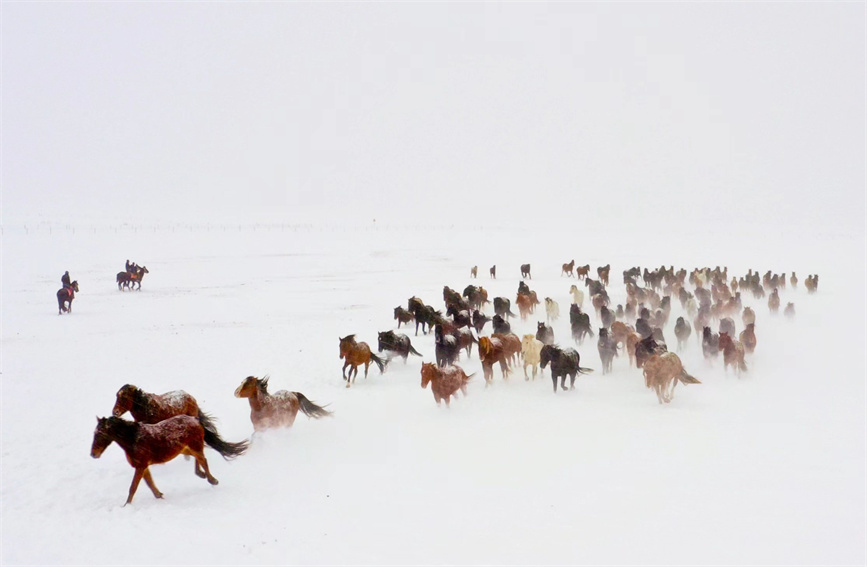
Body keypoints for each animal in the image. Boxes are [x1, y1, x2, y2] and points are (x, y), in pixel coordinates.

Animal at [91, 415, 226, 505]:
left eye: (100, 434)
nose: (93, 454)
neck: (134, 439)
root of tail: (195, 419)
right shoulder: (143, 466)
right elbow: (150, 483)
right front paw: (159, 496)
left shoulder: (141, 466)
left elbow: (133, 487)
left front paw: (126, 505)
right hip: (184, 449)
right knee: (198, 458)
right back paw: (201, 474)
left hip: (194, 446)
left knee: (203, 460)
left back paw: (212, 480)